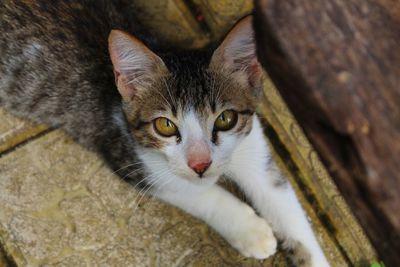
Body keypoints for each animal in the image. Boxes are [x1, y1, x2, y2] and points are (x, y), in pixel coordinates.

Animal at [0, 1, 330, 266]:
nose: (200, 164)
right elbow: (198, 192)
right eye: (165, 125)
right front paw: (252, 230)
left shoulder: (254, 147)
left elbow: (284, 205)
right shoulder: (127, 153)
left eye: (225, 118)